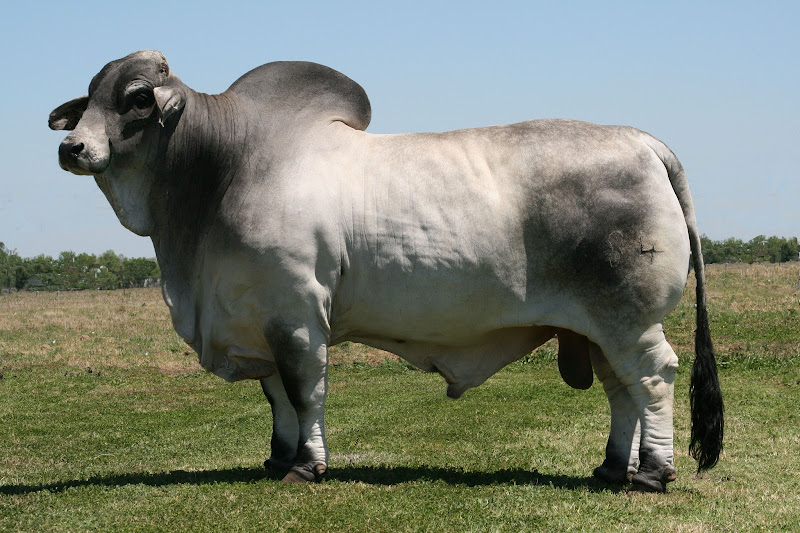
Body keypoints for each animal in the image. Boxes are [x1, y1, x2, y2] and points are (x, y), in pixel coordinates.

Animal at [50, 50, 723, 492]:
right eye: (89, 99)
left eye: (137, 98)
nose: (71, 147)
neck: (219, 173)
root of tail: (641, 141)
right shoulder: (259, 316)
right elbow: (277, 397)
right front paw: (278, 458)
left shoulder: (297, 314)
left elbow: (305, 390)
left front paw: (306, 466)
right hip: (597, 327)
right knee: (621, 390)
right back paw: (612, 468)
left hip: (629, 319)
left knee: (653, 379)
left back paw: (652, 473)